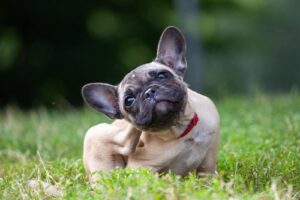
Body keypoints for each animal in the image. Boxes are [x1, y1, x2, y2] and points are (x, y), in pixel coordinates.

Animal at [82, 26, 220, 184]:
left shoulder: (209, 155)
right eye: (129, 101)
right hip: (95, 134)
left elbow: (207, 173)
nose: (149, 92)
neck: (180, 130)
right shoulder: (140, 168)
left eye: (162, 75)